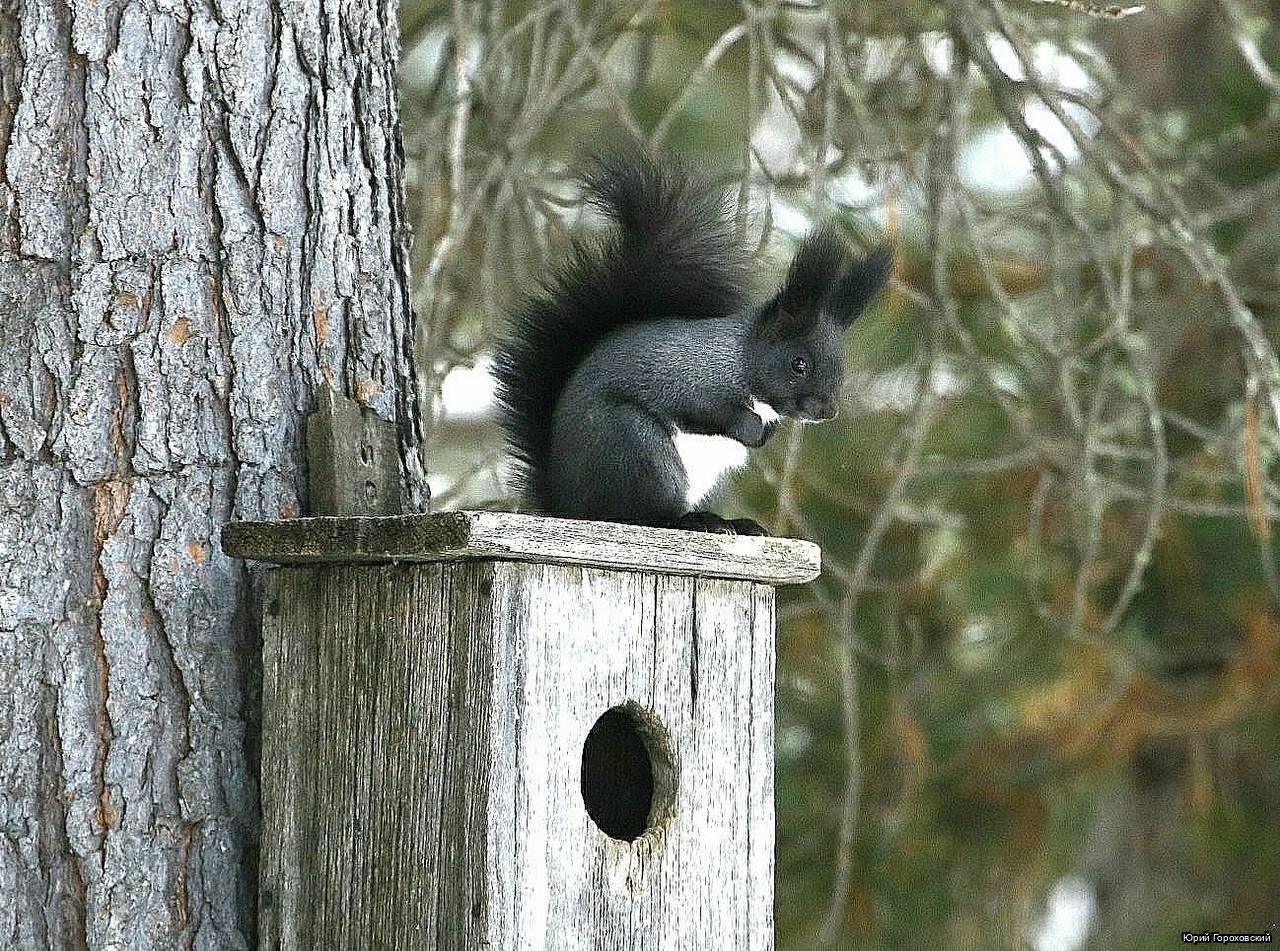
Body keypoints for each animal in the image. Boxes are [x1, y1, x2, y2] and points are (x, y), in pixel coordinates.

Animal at [486, 150, 890, 535]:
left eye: (841, 366)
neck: (741, 359)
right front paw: (749, 427)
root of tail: (569, 505)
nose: (827, 410)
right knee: (641, 514)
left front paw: (764, 434)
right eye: (799, 364)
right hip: (639, 449)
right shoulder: (686, 373)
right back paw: (692, 521)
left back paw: (735, 523)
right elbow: (702, 407)